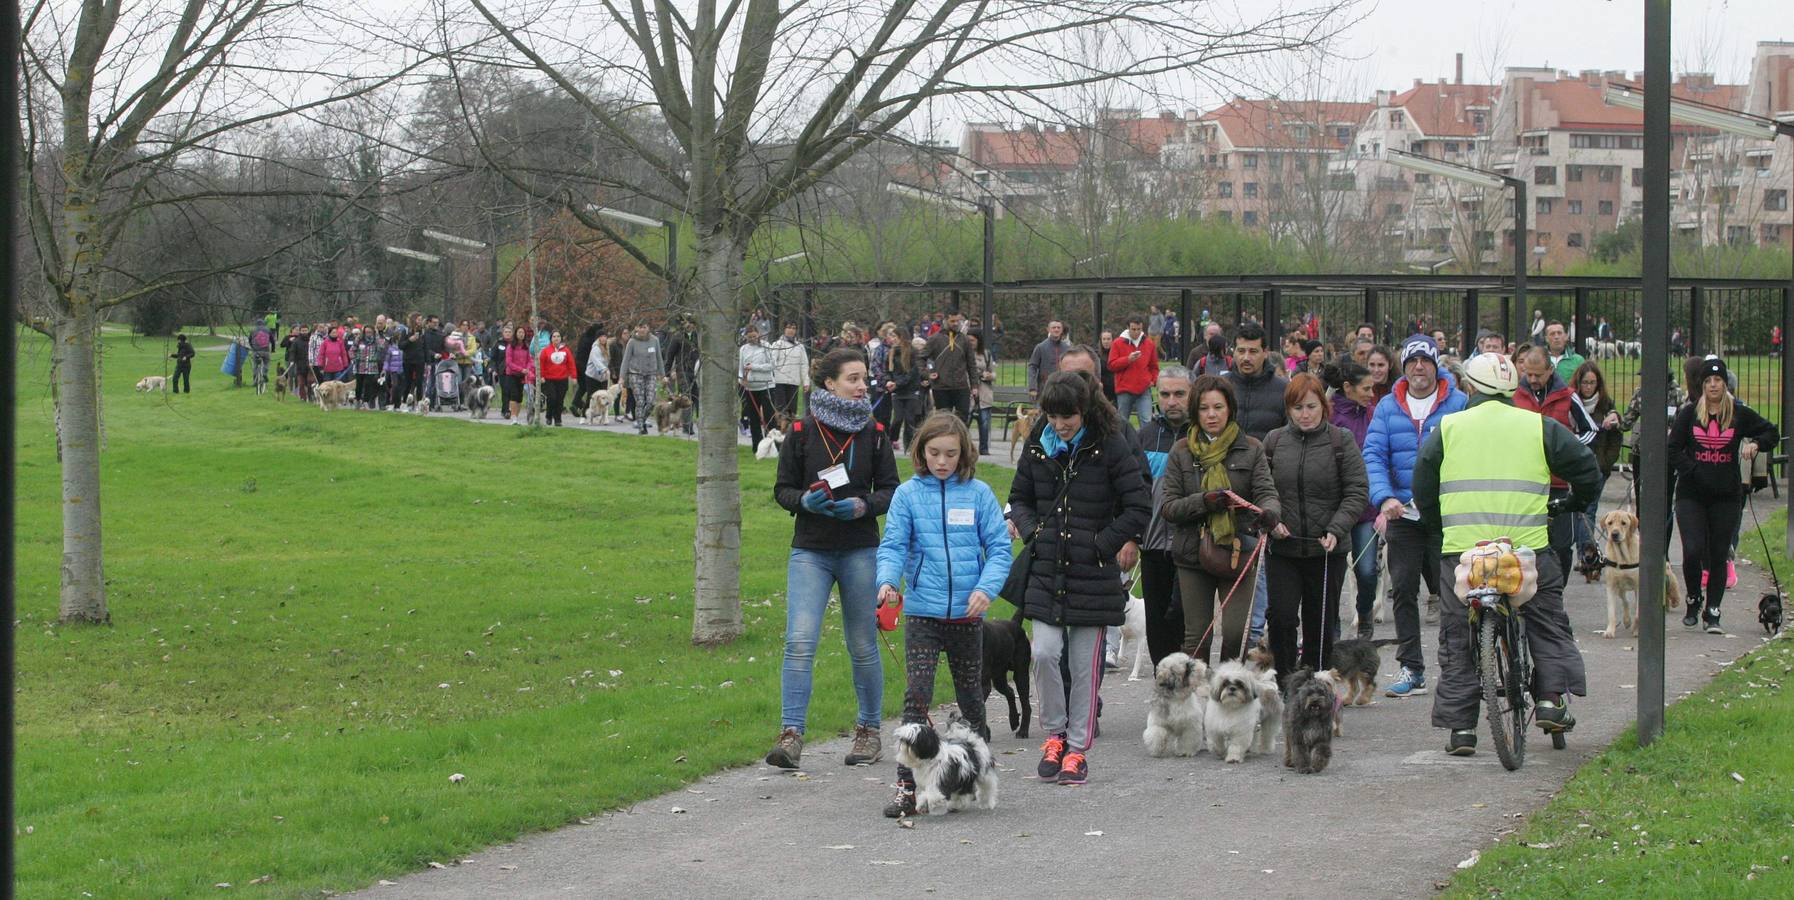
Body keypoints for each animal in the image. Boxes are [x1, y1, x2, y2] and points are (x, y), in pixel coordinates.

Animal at [1600, 505, 1679, 638]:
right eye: (1609, 523)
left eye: (1624, 523)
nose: (1614, 534)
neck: (1623, 556)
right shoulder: (1611, 586)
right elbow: (1611, 613)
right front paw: (1610, 631)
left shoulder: (1639, 586)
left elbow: (1638, 613)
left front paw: (1636, 630)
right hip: (1620, 589)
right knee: (1625, 602)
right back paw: (1626, 620)